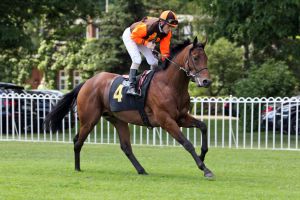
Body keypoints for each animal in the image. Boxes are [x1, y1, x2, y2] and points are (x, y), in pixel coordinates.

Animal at [44, 37, 213, 178]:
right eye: (195, 57)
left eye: (206, 58)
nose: (206, 81)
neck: (169, 85)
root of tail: (87, 82)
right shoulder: (166, 121)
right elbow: (187, 143)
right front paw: (205, 169)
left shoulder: (181, 117)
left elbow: (203, 126)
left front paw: (203, 154)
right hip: (89, 120)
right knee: (78, 141)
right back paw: (77, 168)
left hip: (118, 120)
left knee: (125, 147)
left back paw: (141, 169)